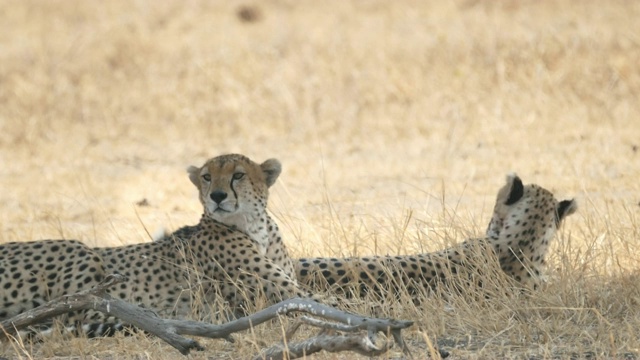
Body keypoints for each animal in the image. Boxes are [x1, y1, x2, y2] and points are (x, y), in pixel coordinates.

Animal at [0, 153, 312, 336]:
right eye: (207, 177)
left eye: (238, 175)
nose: (218, 196)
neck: (254, 226)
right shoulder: (283, 291)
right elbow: (317, 300)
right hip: (82, 252)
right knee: (74, 314)